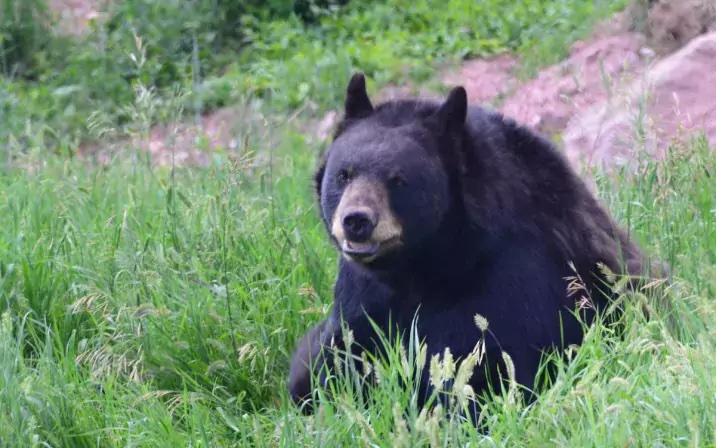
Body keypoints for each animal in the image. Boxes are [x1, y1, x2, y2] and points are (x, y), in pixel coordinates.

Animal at [288, 72, 668, 420]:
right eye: (344, 174)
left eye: (398, 180)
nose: (357, 220)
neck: (424, 263)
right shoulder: (361, 292)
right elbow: (333, 357)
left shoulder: (512, 277)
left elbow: (484, 367)